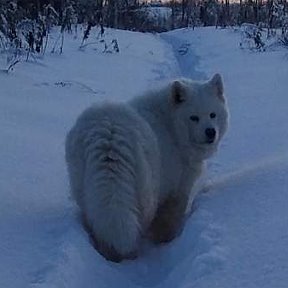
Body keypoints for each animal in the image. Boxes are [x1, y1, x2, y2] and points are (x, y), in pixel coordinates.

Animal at [66, 73, 230, 260]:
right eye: (194, 117)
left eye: (212, 114)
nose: (211, 132)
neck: (171, 125)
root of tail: (108, 135)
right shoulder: (178, 189)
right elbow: (170, 218)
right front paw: (166, 240)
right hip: (146, 193)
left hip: (85, 188)